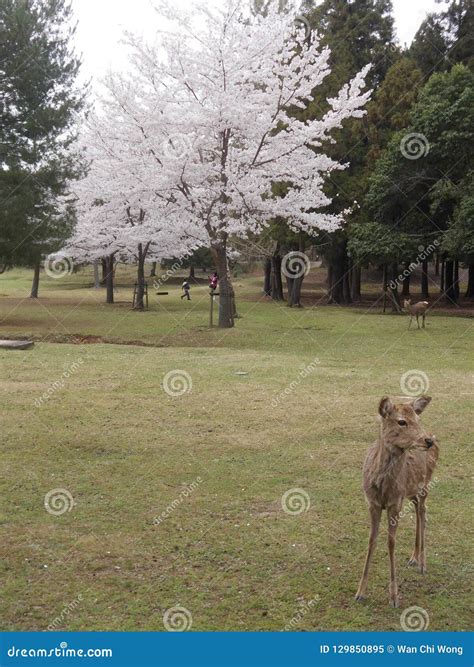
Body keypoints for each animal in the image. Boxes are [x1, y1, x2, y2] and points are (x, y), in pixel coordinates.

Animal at [356, 396, 436, 612]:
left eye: (417, 418)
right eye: (401, 421)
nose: (428, 441)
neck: (383, 488)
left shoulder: (394, 504)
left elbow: (391, 543)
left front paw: (394, 597)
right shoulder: (373, 504)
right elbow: (371, 540)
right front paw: (360, 592)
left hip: (425, 485)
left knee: (423, 513)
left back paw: (423, 564)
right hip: (411, 492)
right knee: (418, 511)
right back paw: (414, 557)